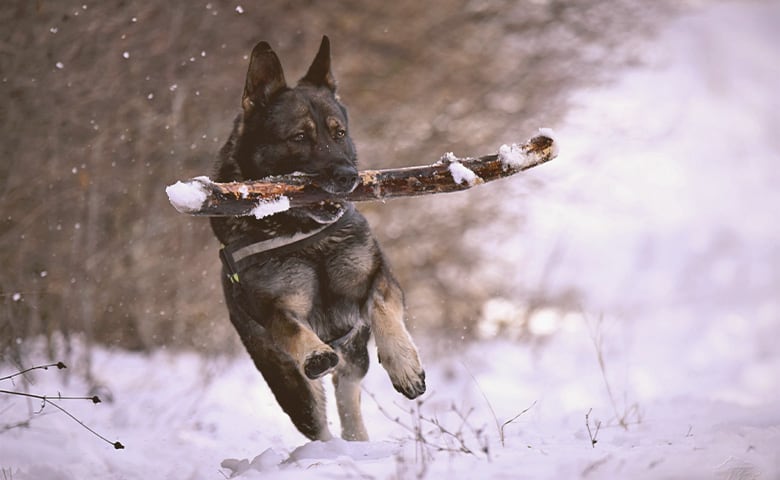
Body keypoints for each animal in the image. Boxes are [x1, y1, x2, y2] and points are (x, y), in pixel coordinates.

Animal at [209, 36, 426, 442]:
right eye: (299, 137)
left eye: (338, 133)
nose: (348, 177)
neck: (306, 237)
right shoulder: (274, 308)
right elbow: (293, 328)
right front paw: (314, 351)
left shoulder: (380, 277)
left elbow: (383, 309)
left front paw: (404, 364)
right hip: (290, 386)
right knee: (319, 419)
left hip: (354, 357)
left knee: (348, 394)